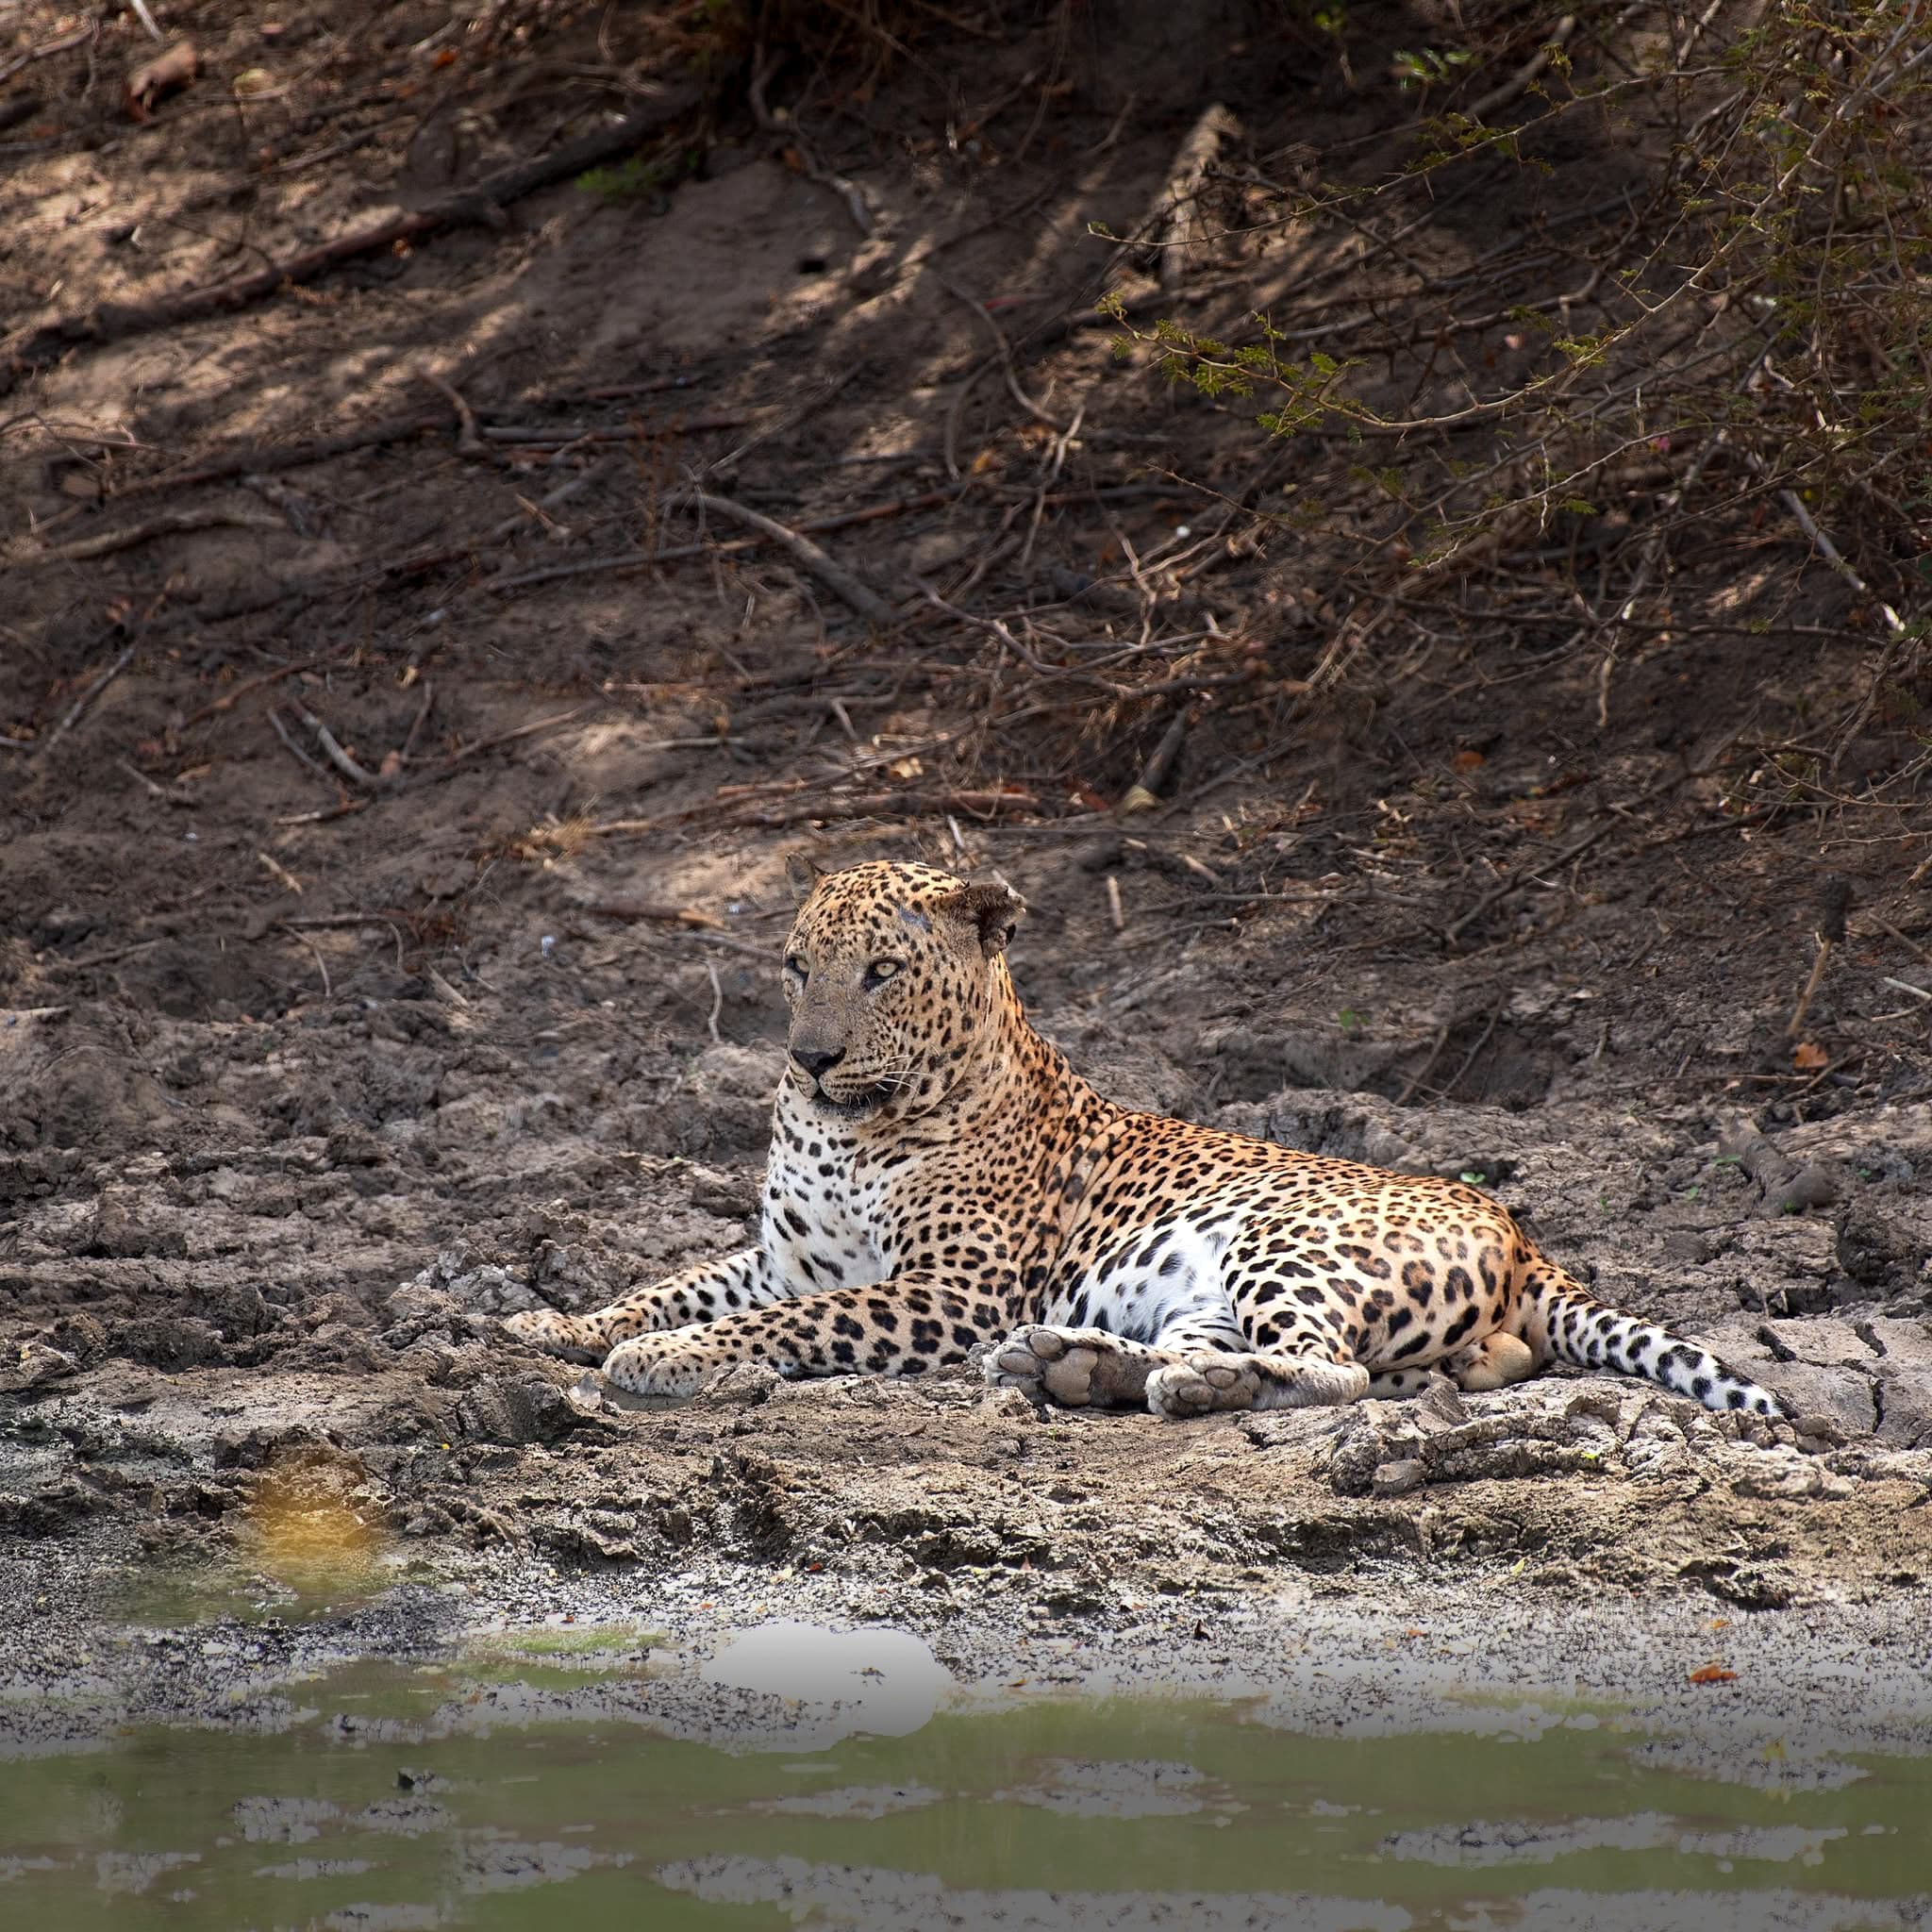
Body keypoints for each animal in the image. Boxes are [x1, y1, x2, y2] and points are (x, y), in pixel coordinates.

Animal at [505, 857, 1785, 1423]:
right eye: (791, 966)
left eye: (879, 972)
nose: (810, 1059)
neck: (849, 1127)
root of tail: (1517, 1227)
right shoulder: (780, 1256)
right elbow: (669, 1281)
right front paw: (553, 1323)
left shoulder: (948, 1288)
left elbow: (782, 1323)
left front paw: (671, 1358)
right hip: (1211, 1283)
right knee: (1304, 1358)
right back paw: (1087, 1363)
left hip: (1283, 1239)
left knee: (1329, 1368)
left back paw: (1100, 1368)